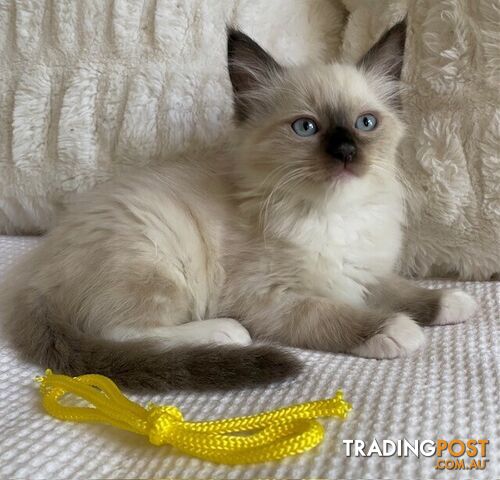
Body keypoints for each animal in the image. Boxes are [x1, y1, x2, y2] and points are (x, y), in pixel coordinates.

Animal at [0, 20, 476, 392]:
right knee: (121, 332)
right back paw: (225, 334)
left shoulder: (361, 272)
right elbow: (333, 315)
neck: (333, 216)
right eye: (306, 128)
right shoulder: (273, 298)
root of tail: (33, 276)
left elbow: (401, 291)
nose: (345, 151)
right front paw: (394, 329)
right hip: (158, 259)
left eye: (366, 123)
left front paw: (451, 302)